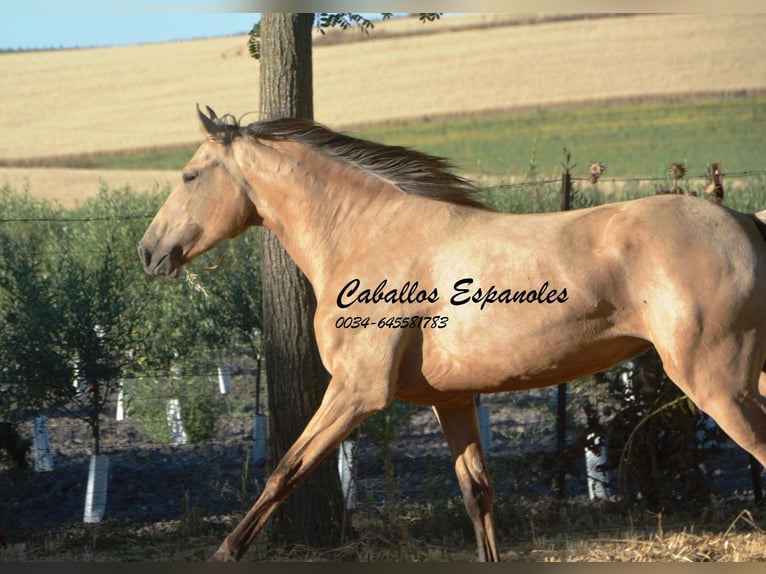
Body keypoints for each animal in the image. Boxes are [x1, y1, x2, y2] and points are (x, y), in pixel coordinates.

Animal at [138, 107, 766, 564]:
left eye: (189, 175)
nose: (148, 252)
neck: (362, 235)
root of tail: (746, 223)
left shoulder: (356, 391)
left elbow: (283, 473)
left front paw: (225, 553)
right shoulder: (453, 401)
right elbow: (477, 496)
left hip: (717, 383)